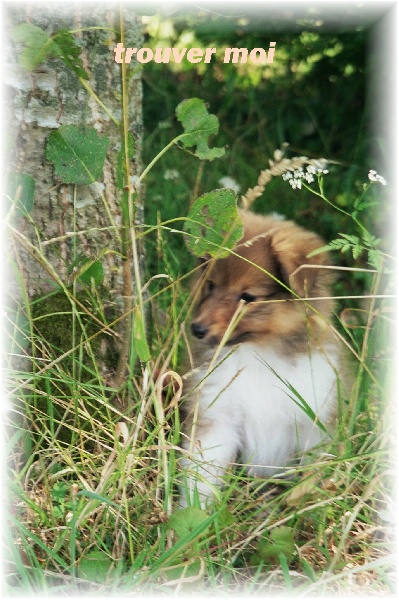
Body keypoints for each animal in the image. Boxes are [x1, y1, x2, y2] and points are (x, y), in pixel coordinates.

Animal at [181, 211, 340, 506]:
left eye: (247, 297)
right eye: (210, 284)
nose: (196, 329)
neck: (259, 353)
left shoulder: (313, 422)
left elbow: (312, 478)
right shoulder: (217, 416)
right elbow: (201, 476)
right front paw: (194, 513)